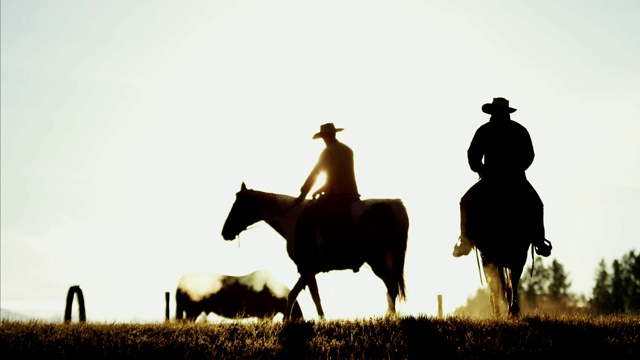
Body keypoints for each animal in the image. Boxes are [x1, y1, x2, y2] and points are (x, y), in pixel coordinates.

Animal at [221, 183, 410, 320]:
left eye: (238, 206)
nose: (225, 232)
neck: (292, 218)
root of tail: (393, 204)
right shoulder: (307, 270)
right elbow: (294, 294)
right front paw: (287, 320)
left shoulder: (306, 268)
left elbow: (313, 296)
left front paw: (320, 320)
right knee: (391, 284)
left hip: (376, 259)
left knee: (390, 284)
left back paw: (389, 316)